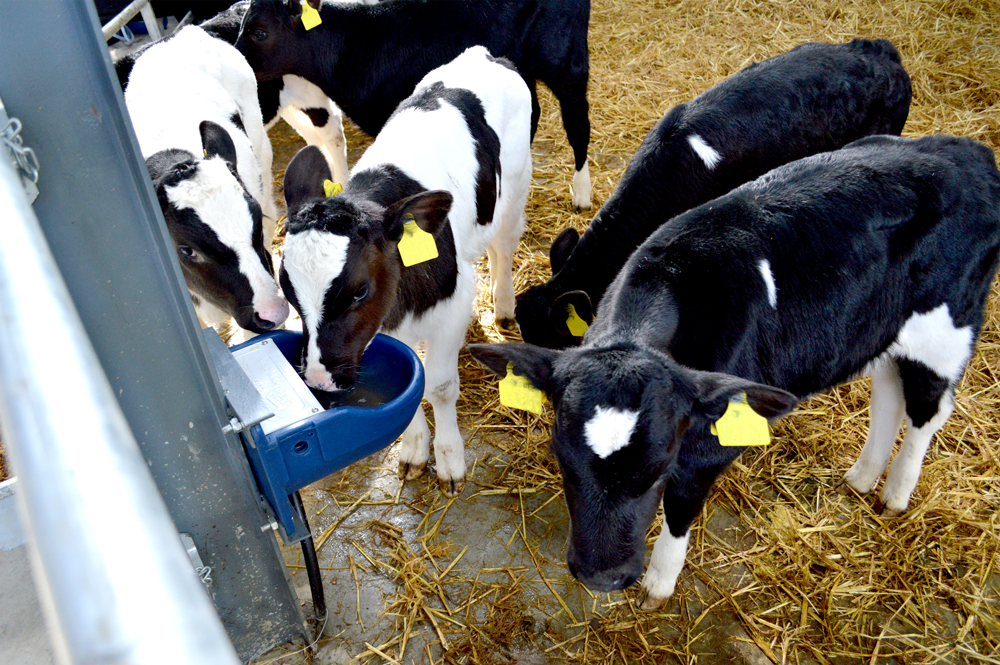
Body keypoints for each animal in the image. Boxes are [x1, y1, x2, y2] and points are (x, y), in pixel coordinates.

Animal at [278, 46, 536, 492]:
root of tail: (483, 54)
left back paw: (503, 306)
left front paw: (450, 461)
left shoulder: (450, 307)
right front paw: (415, 449)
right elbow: (413, 381)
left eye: (360, 291)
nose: (319, 380)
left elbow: (440, 385)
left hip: (516, 186)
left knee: (503, 245)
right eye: (290, 293)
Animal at [468, 135, 1000, 608]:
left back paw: (895, 493)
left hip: (946, 330)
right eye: (561, 457)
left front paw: (658, 584)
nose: (601, 577)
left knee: (928, 410)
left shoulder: (708, 447)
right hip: (881, 330)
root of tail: (970, 152)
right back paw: (862, 477)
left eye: (659, 468)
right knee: (889, 395)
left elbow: (680, 508)